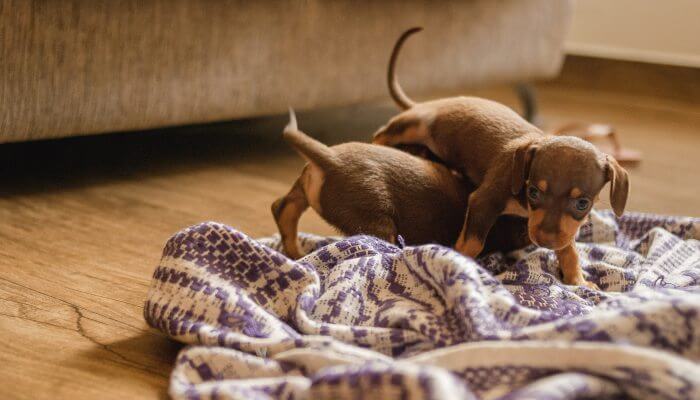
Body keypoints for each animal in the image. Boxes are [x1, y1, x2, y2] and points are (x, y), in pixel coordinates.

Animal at [372, 27, 628, 288]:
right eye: (533, 192)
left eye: (582, 203)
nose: (544, 241)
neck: (524, 204)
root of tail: (425, 104)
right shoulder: (483, 202)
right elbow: (473, 242)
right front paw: (462, 265)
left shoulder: (566, 227)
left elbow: (569, 249)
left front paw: (577, 279)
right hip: (414, 124)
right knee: (381, 133)